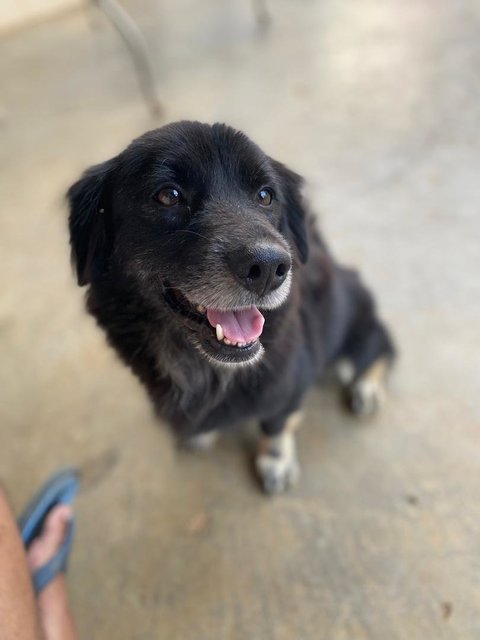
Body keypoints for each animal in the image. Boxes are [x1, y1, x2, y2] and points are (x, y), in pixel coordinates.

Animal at [68, 122, 398, 492]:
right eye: (169, 195)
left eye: (265, 196)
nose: (269, 268)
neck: (205, 369)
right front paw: (202, 434)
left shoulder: (289, 389)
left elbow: (276, 427)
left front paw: (275, 463)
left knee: (381, 346)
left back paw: (366, 386)